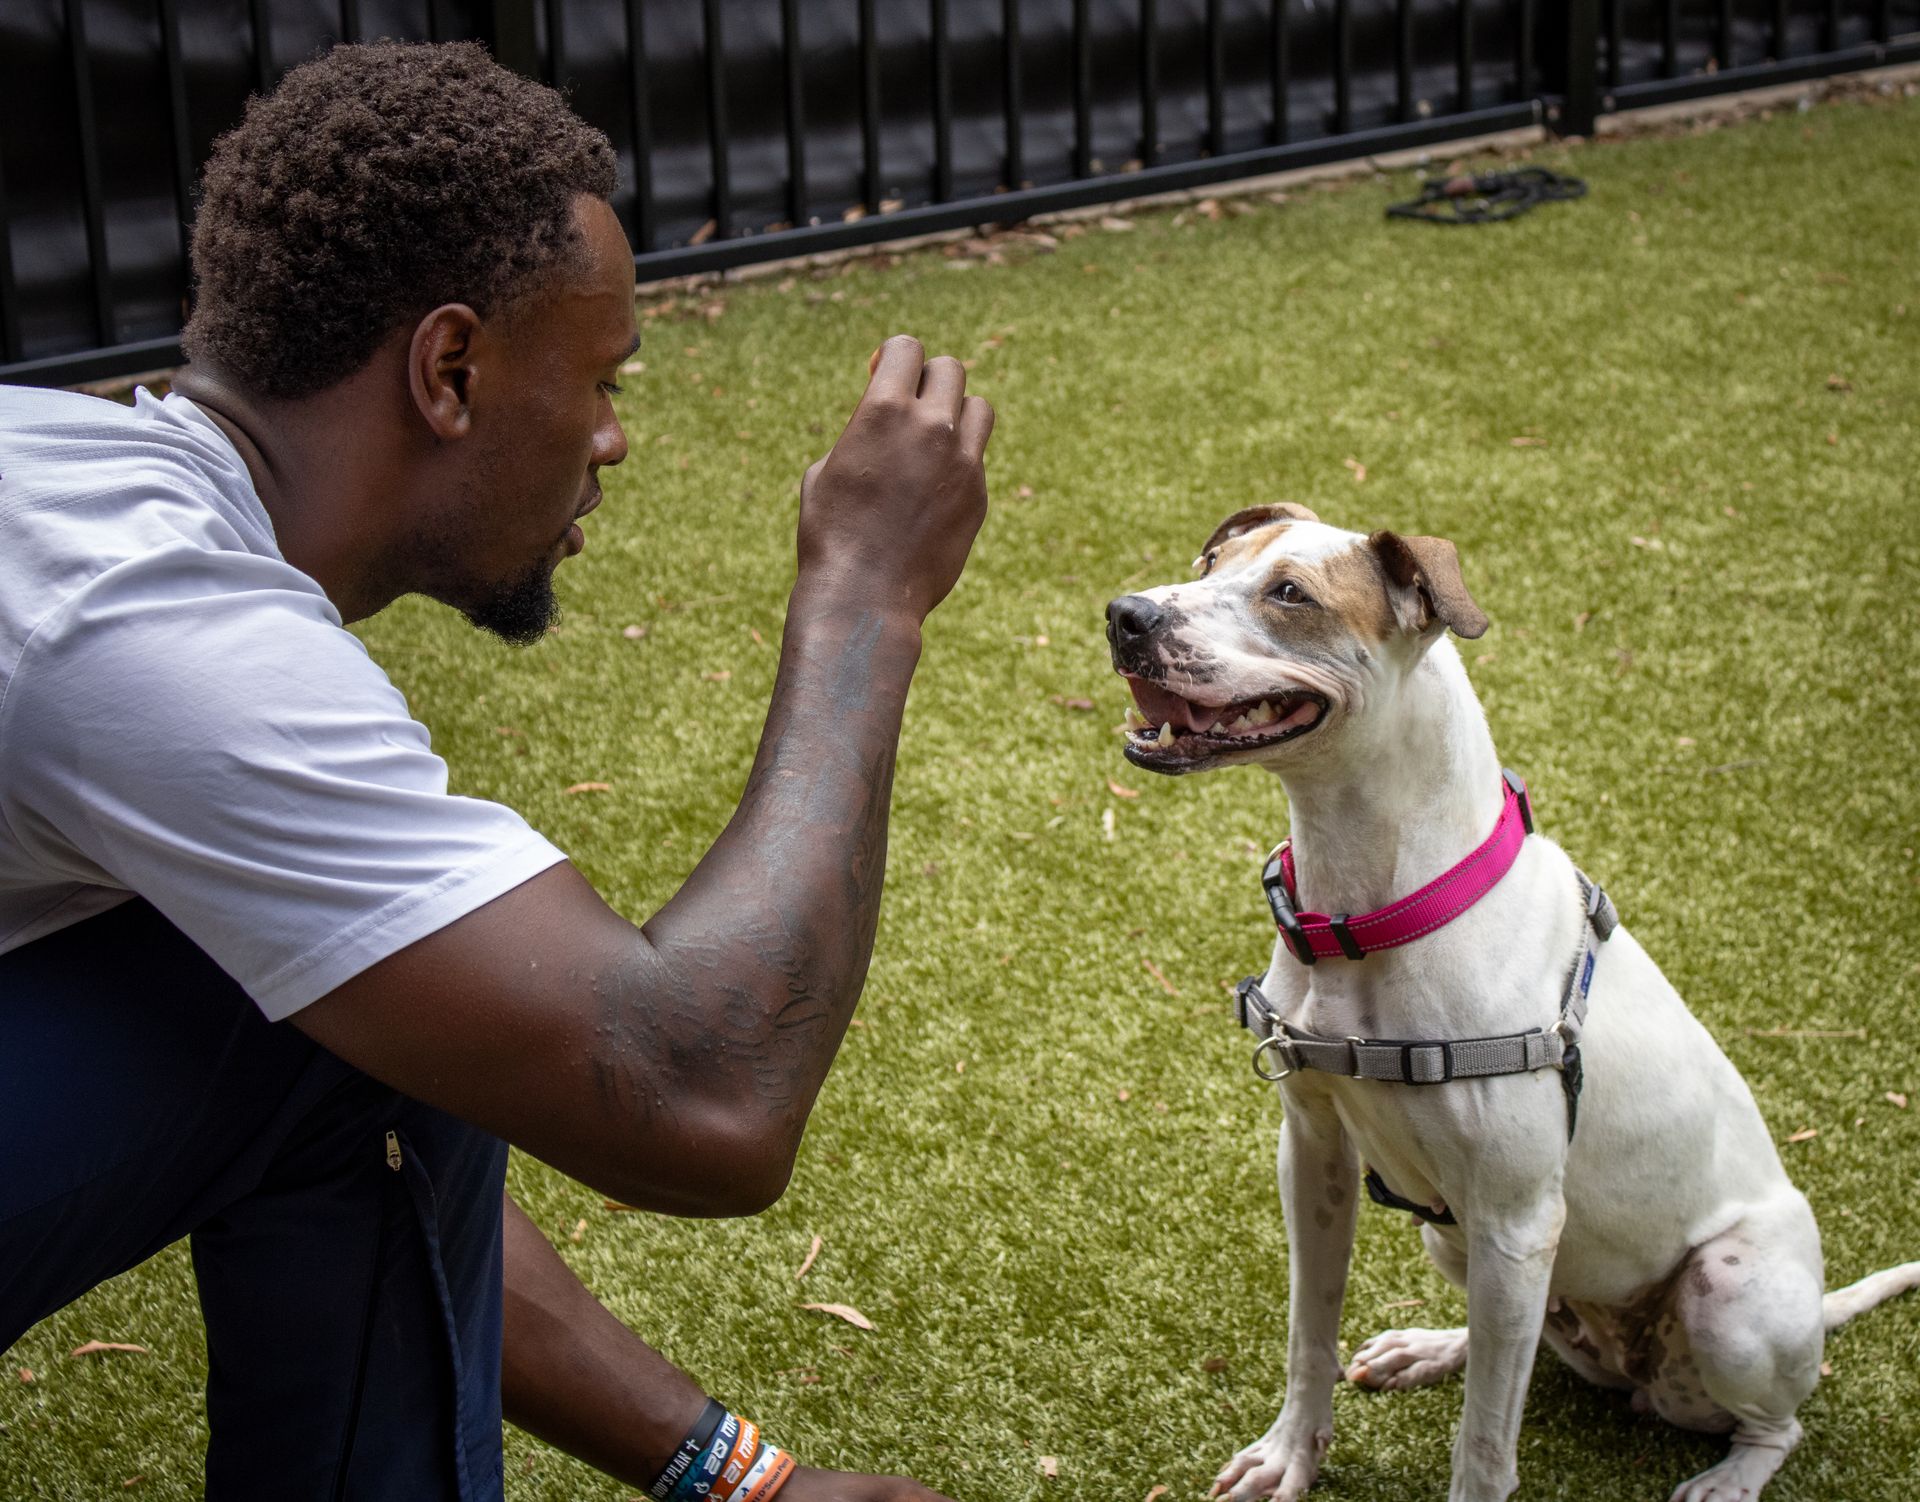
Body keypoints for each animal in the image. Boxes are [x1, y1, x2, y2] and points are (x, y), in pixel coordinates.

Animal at [1105, 507, 1912, 1502]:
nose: (1125, 615)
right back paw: (1430, 1347)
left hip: (1722, 1296)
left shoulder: (1519, 1221)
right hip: (1461, 1245)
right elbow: (1309, 1332)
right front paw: (1291, 1454)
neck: (1369, 914)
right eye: (1210, 561)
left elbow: (1485, 1442)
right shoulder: (1315, 1155)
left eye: (1290, 592)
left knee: (1776, 1423)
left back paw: (1726, 1479)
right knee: (1514, 1342)